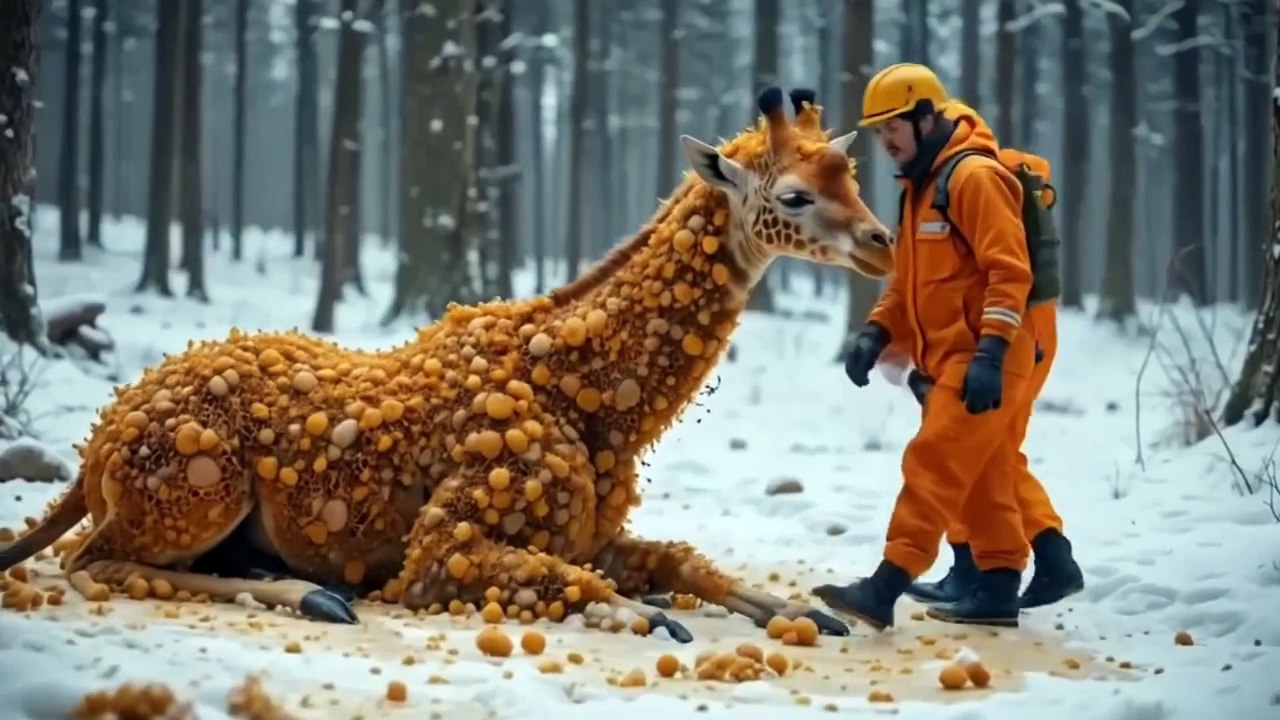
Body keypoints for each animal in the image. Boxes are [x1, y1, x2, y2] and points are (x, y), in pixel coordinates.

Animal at [0, 86, 894, 642]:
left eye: (849, 173)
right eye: (793, 196)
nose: (883, 242)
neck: (599, 410)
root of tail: (98, 442)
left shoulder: (590, 536)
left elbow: (680, 559)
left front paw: (808, 611)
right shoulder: (439, 552)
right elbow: (608, 594)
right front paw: (646, 617)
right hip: (195, 490)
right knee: (89, 563)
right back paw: (314, 594)